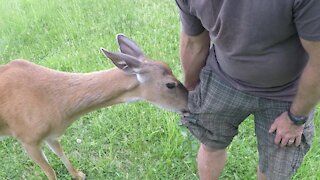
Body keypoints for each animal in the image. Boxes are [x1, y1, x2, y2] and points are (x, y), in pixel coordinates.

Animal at [0, 34, 189, 179]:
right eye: (170, 84)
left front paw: (78, 175)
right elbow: (50, 172)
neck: (56, 104)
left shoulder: (51, 135)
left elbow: (61, 154)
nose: (189, 104)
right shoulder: (27, 138)